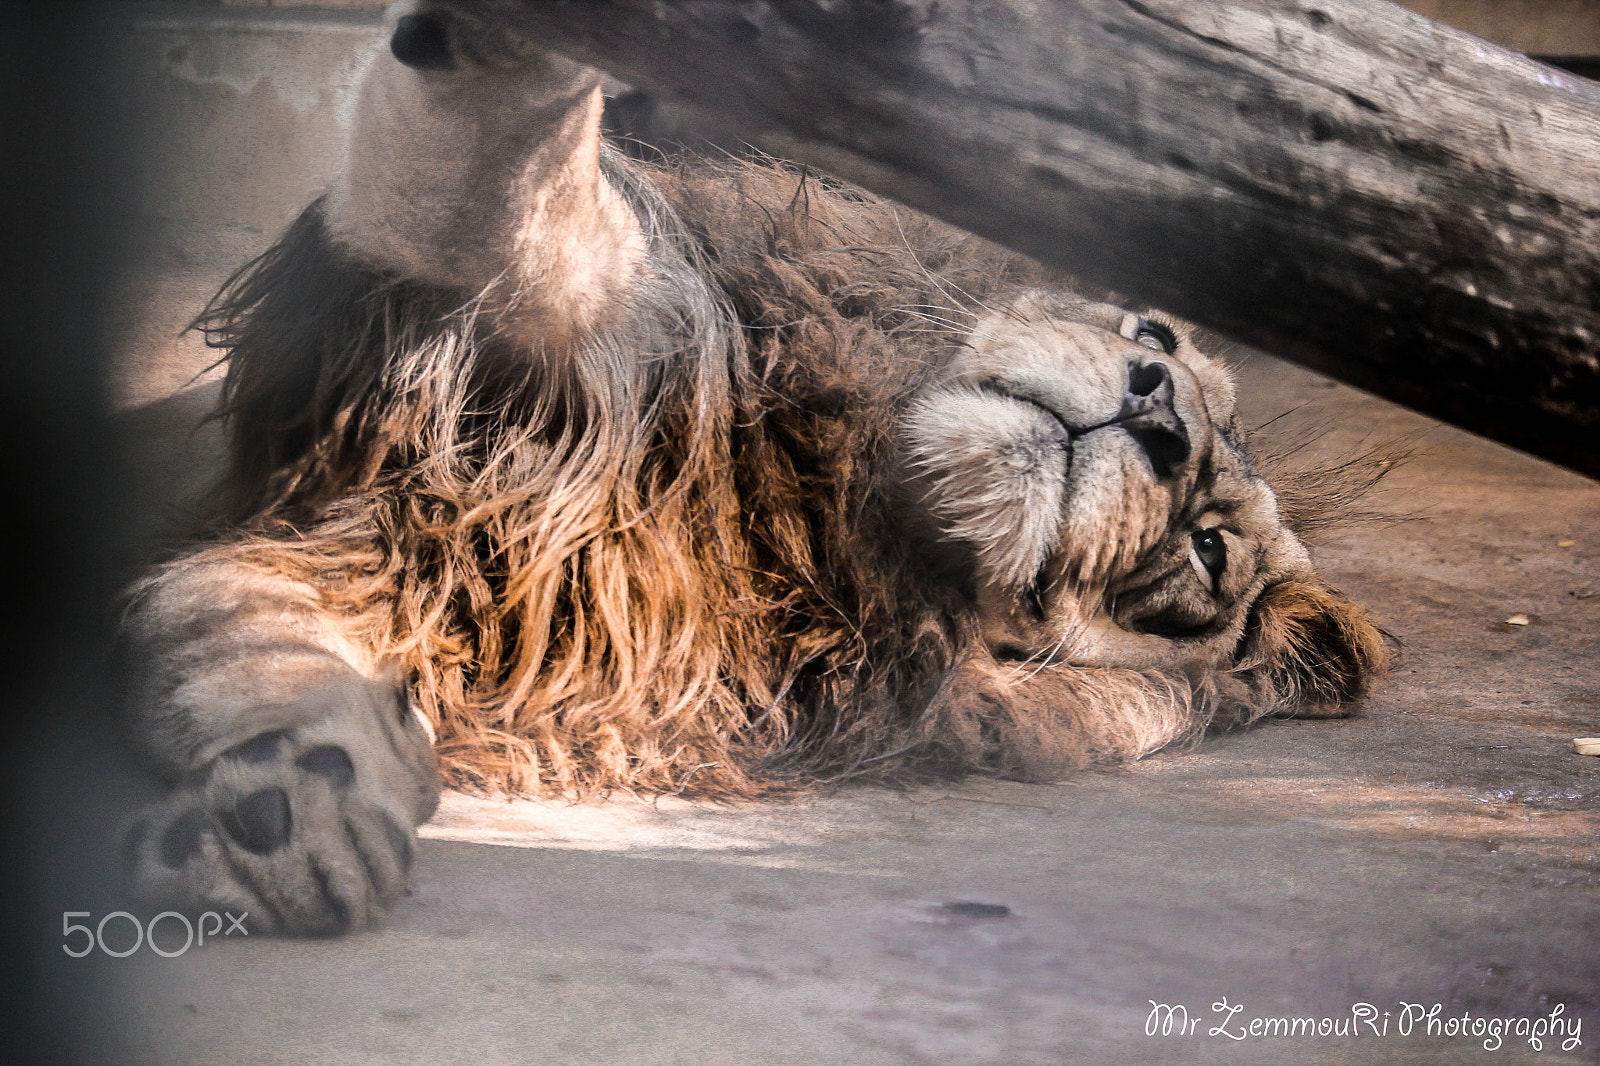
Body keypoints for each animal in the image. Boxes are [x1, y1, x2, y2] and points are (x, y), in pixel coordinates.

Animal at [119, 0, 1387, 934]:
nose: (1156, 409)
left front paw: (285, 815)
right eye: (1156, 334)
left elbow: (248, 639)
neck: (839, 510)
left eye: (1208, 549)